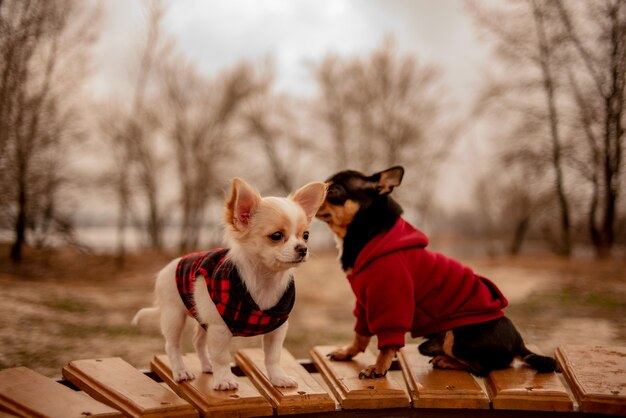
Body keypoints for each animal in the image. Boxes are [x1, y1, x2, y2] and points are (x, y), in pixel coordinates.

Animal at [132, 178, 326, 390]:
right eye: (276, 236)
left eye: (305, 235)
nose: (303, 249)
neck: (265, 280)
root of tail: (170, 266)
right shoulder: (219, 329)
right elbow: (222, 357)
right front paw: (224, 380)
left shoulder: (278, 328)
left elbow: (273, 357)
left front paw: (278, 378)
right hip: (174, 315)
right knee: (172, 345)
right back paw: (181, 371)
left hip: (201, 316)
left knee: (198, 341)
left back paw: (207, 366)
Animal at [314, 166, 552, 378]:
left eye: (333, 190)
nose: (313, 191)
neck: (369, 235)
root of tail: (519, 341)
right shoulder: (365, 303)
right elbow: (360, 334)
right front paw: (347, 353)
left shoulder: (392, 302)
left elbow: (387, 342)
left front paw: (379, 368)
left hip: (457, 336)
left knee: (482, 368)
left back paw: (445, 361)